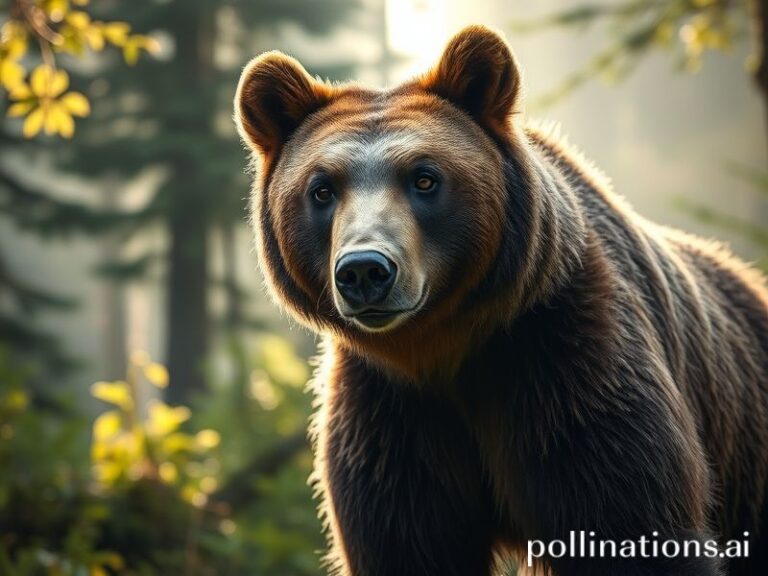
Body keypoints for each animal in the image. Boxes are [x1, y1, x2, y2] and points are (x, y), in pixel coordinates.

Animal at [234, 25, 768, 576]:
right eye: (321, 189)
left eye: (425, 178)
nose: (365, 270)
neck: (443, 347)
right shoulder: (391, 419)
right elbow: (407, 542)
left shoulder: (567, 370)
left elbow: (629, 519)